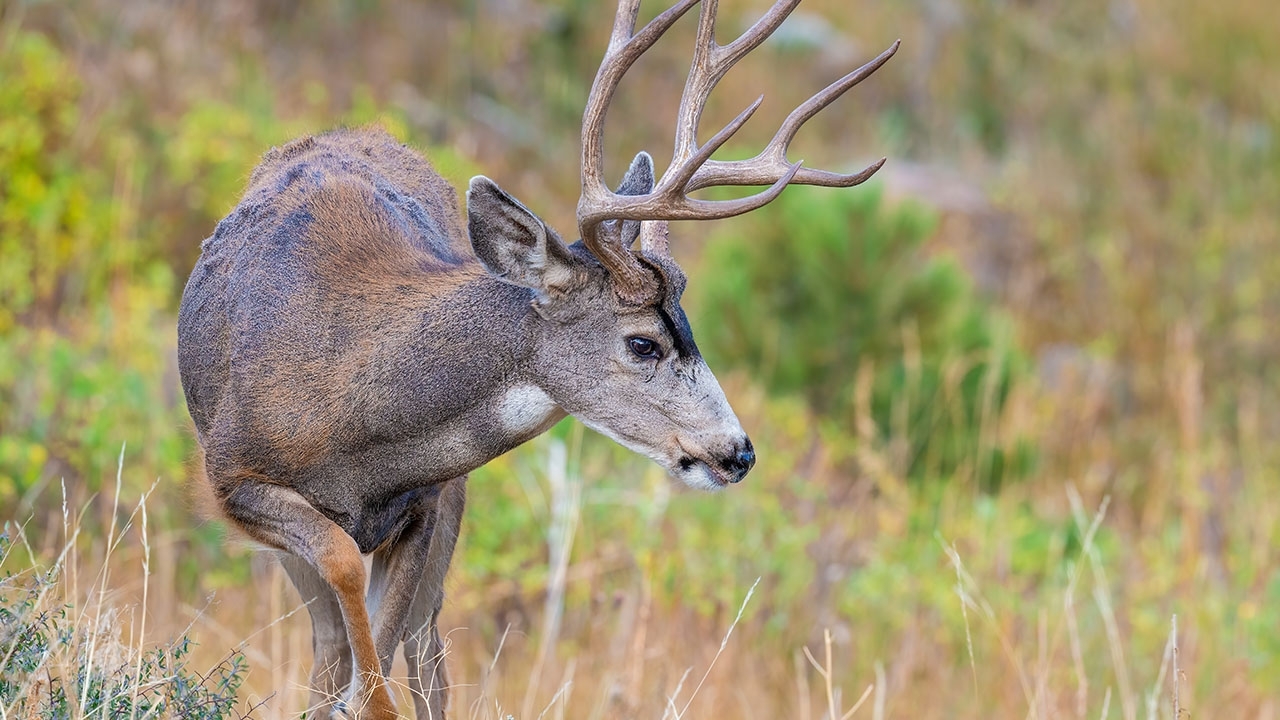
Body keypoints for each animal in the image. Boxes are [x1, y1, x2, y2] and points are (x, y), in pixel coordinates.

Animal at [180, 0, 896, 712]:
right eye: (643, 341)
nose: (738, 452)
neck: (350, 410)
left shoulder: (428, 501)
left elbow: (383, 651)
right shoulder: (233, 478)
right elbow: (341, 575)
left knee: (423, 641)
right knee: (332, 640)